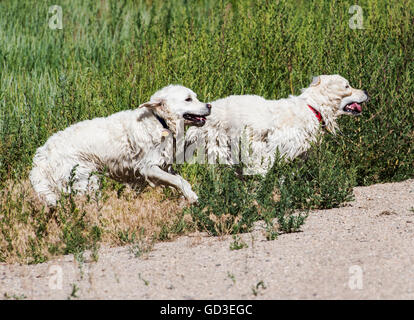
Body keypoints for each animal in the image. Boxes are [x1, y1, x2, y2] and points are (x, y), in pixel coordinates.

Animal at [29, 84, 210, 206]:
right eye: (188, 99)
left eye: (195, 97)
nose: (209, 105)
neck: (161, 122)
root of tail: (43, 155)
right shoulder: (148, 168)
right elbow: (177, 180)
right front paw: (190, 197)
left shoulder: (164, 165)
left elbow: (181, 180)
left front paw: (190, 195)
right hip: (85, 180)